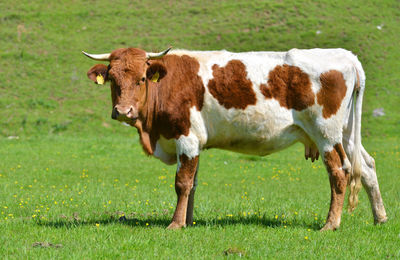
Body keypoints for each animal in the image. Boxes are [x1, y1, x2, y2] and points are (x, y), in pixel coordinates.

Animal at [83, 46, 388, 230]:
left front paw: (176, 224)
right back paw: (380, 218)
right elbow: (193, 185)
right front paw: (188, 222)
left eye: (142, 79)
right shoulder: (194, 144)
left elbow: (182, 184)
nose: (123, 111)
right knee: (367, 166)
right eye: (112, 79)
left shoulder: (186, 138)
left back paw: (330, 224)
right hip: (346, 133)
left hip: (326, 133)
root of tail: (346, 56)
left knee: (339, 172)